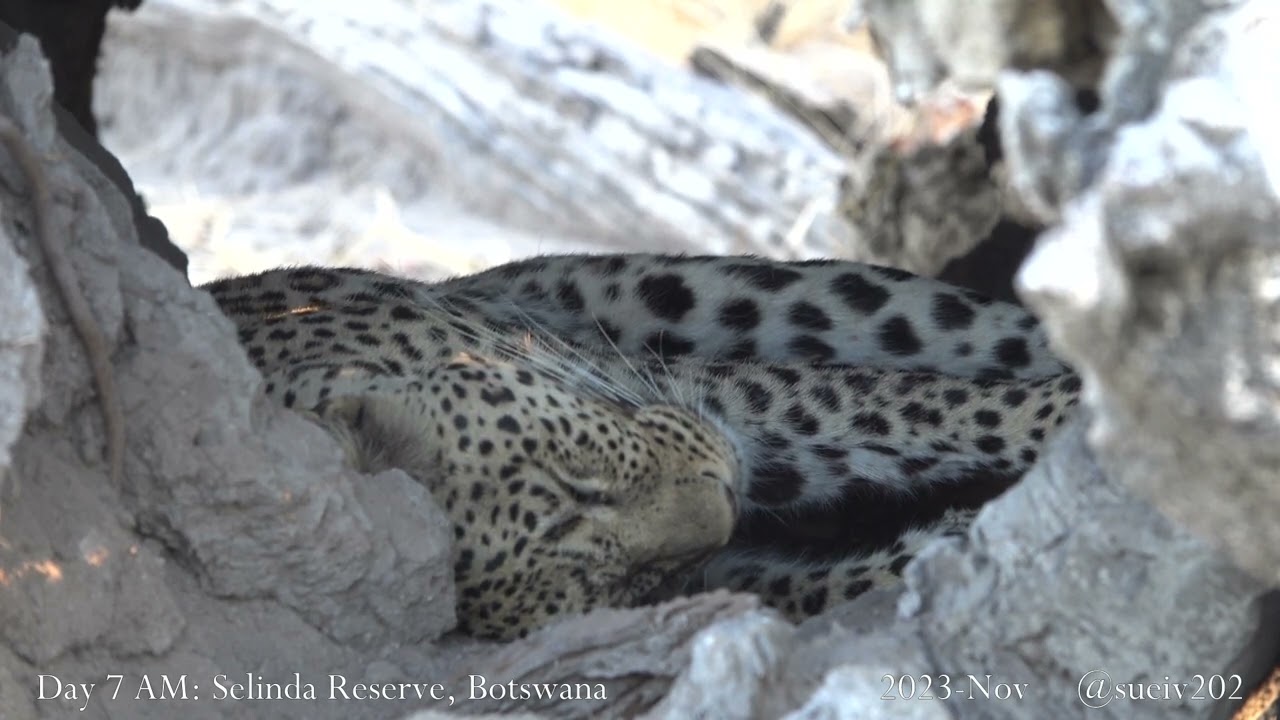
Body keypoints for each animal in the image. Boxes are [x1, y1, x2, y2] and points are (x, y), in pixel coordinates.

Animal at [202, 253, 1080, 640]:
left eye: (578, 487)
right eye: (626, 587)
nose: (724, 502)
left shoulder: (696, 392)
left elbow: (894, 407)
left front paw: (1072, 419)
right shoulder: (724, 565)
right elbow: (829, 585)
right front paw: (951, 540)